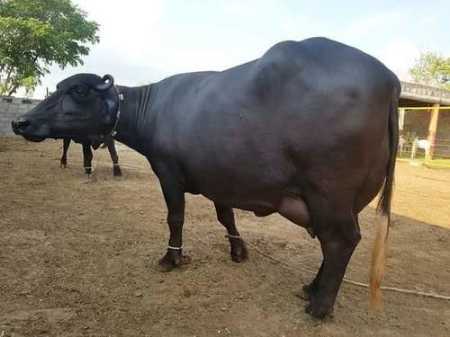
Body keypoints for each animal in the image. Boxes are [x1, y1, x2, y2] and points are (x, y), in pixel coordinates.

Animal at [10, 37, 400, 318]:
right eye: (57, 88)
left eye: (78, 90)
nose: (20, 122)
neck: (152, 107)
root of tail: (389, 79)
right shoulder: (219, 179)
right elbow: (225, 216)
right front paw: (238, 251)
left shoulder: (167, 171)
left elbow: (175, 217)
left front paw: (172, 258)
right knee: (331, 242)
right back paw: (312, 288)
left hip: (329, 192)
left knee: (342, 240)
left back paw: (319, 306)